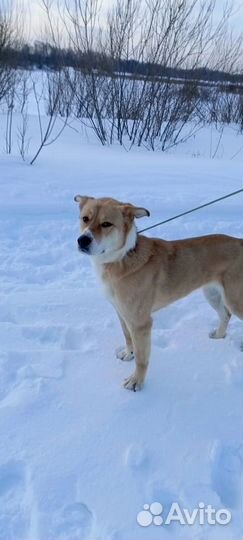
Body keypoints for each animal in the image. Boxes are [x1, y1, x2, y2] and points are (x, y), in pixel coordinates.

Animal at [74, 196, 243, 390]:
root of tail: (240, 241)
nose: (82, 240)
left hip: (234, 299)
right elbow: (127, 336)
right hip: (212, 294)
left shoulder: (140, 322)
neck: (122, 256)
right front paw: (128, 354)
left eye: (106, 224)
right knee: (225, 314)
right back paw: (218, 335)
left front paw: (136, 382)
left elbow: (142, 358)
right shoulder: (122, 312)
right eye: (85, 218)